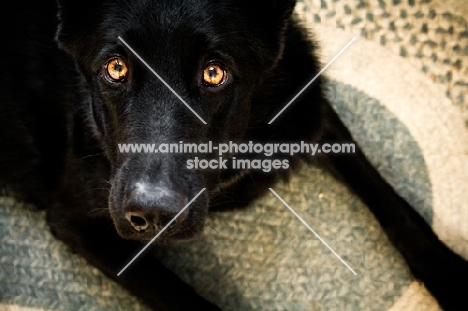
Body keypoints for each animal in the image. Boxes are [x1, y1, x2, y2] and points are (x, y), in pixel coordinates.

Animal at [0, 0, 466, 310]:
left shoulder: (310, 111)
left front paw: (449, 273)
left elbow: (393, 202)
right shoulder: (78, 220)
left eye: (214, 73)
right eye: (116, 68)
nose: (153, 214)